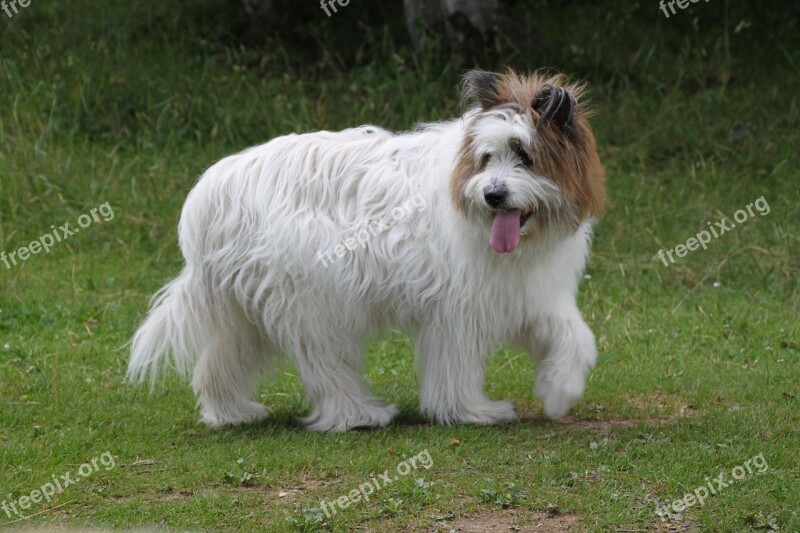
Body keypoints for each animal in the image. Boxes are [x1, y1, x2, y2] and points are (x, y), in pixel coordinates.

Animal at [130, 68, 608, 430]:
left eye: (524, 157)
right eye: (487, 157)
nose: (492, 195)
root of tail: (213, 190)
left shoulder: (524, 290)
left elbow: (575, 336)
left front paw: (559, 389)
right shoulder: (457, 307)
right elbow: (456, 364)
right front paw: (470, 411)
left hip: (248, 301)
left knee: (223, 356)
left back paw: (230, 412)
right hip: (312, 299)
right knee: (324, 363)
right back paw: (357, 413)